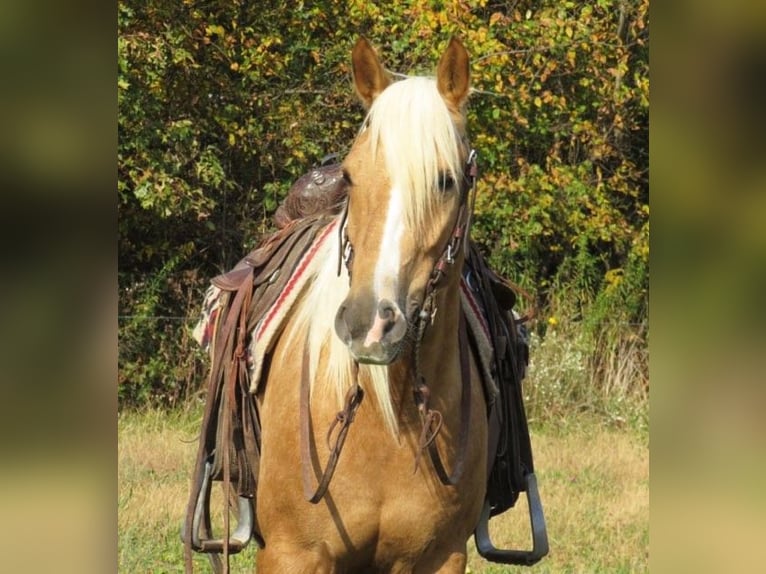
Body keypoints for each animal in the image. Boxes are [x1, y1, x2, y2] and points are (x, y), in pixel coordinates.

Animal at [255, 38, 488, 572]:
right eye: (350, 175)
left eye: (446, 181)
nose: (369, 324)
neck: (387, 421)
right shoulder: (291, 553)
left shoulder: (441, 557)